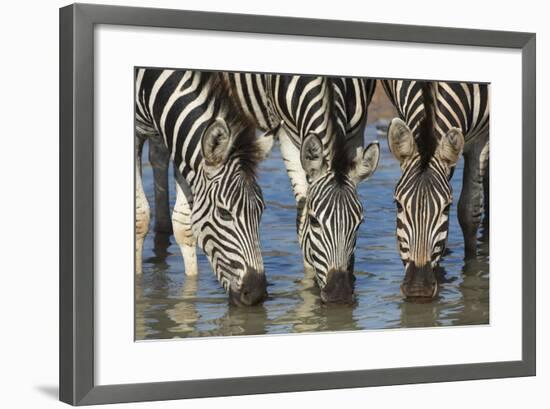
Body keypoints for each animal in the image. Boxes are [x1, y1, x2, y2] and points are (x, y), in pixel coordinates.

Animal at [136, 68, 278, 304]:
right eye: (224, 213)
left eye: (261, 211)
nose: (256, 293)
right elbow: (140, 217)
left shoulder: (176, 138)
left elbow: (184, 224)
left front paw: (190, 290)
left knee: (157, 155)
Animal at [222, 74, 382, 302]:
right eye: (315, 221)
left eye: (359, 224)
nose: (339, 295)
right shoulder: (286, 136)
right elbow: (301, 215)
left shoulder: (357, 131)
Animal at [384, 79, 492, 296]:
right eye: (398, 205)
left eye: (446, 207)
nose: (418, 289)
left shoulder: (482, 137)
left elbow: (469, 212)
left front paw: (471, 273)